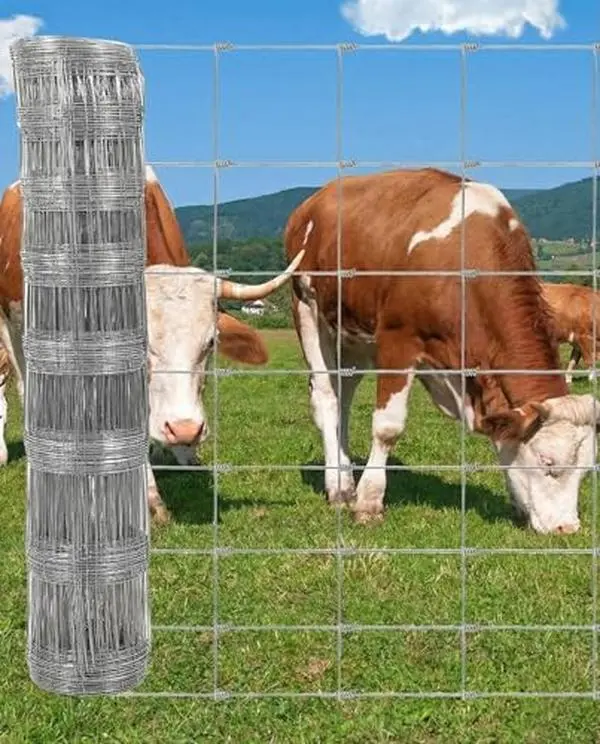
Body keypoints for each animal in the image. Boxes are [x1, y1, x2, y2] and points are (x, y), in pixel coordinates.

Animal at [285, 167, 599, 535]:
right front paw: (369, 502)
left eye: (586, 470)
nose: (567, 528)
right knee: (326, 399)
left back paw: (347, 478)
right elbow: (387, 427)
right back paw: (339, 488)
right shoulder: (397, 340)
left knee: (344, 399)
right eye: (548, 462)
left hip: (353, 335)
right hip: (307, 307)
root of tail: (311, 202)